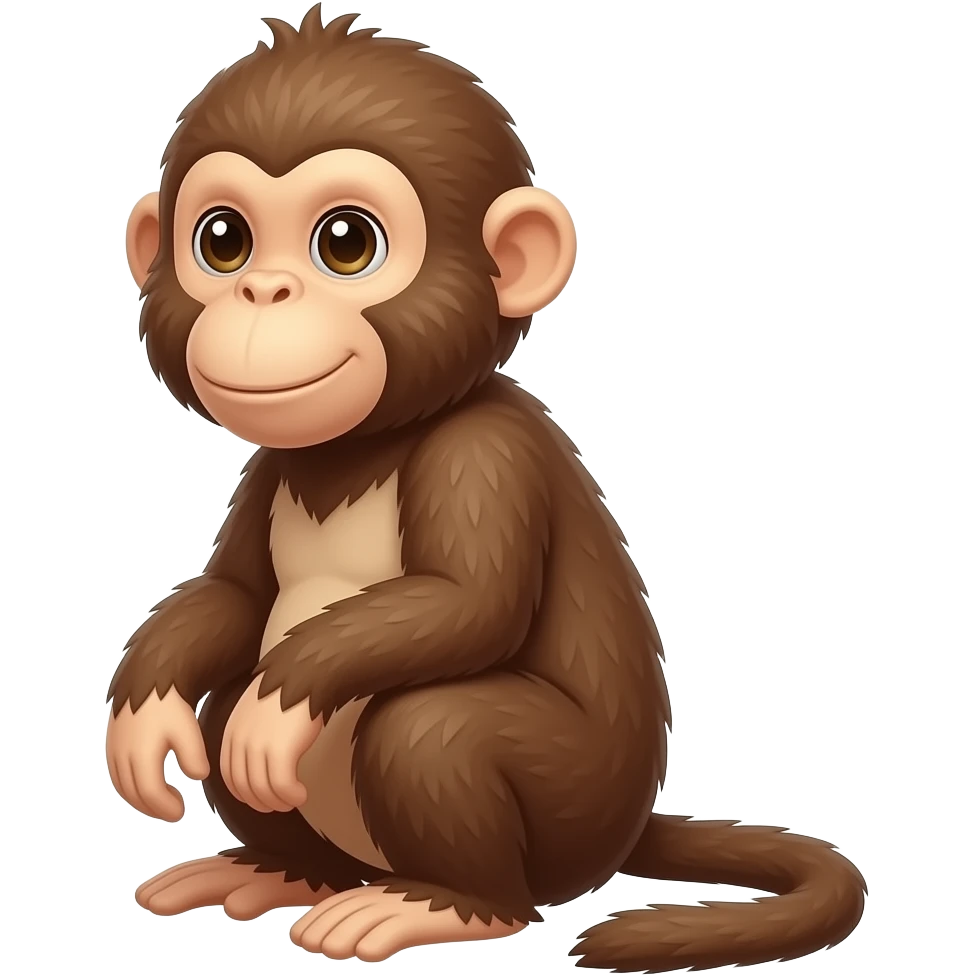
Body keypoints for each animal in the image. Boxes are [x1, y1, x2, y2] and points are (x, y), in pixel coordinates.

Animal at [108, 8, 867, 972]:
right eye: (221, 239)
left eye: (345, 242)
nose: (261, 289)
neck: (364, 445)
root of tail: (627, 832)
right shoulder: (269, 467)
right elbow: (235, 594)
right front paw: (143, 713)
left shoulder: (484, 459)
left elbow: (470, 604)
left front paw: (279, 707)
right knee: (231, 692)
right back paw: (283, 870)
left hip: (570, 813)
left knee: (429, 726)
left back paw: (444, 903)